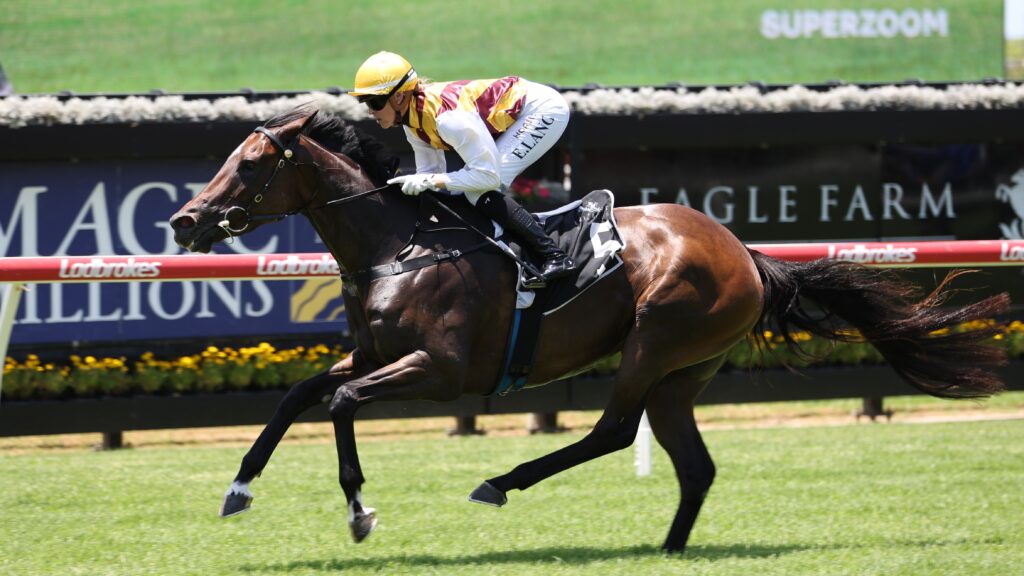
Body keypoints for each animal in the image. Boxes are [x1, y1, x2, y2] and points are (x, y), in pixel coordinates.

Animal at [169, 103, 1009, 554]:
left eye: (250, 165)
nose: (184, 221)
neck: (397, 245)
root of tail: (745, 252)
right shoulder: (370, 355)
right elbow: (298, 397)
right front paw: (239, 489)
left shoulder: (439, 371)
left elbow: (340, 406)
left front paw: (359, 511)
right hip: (683, 373)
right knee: (693, 464)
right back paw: (669, 549)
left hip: (658, 338)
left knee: (612, 430)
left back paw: (501, 482)